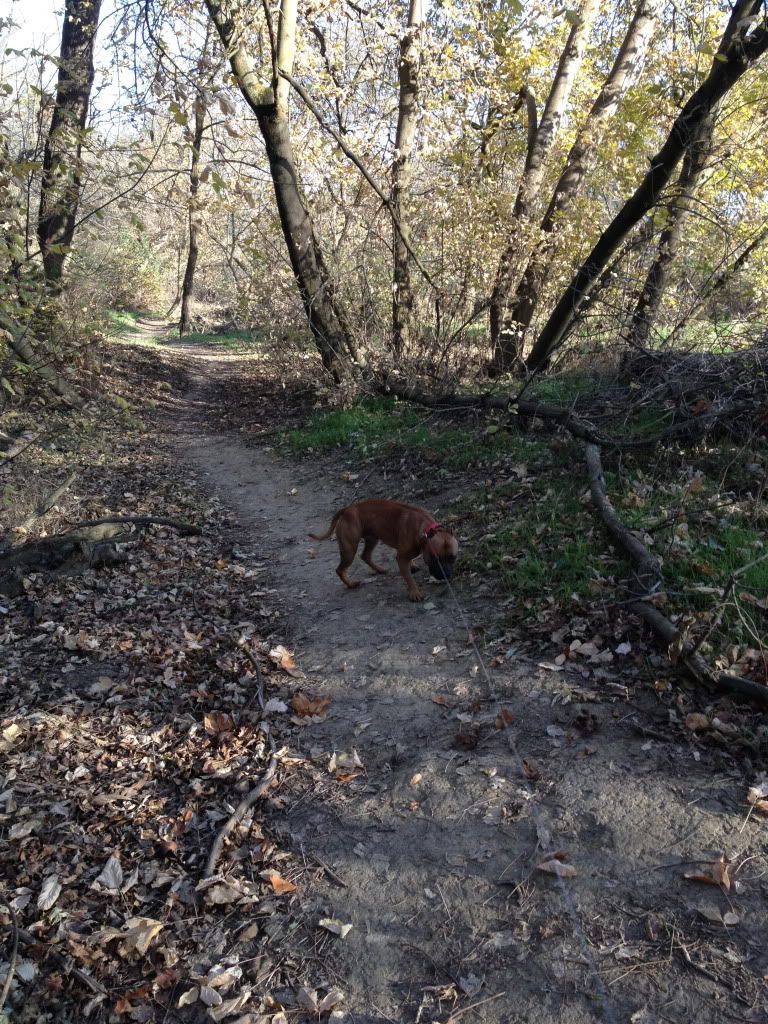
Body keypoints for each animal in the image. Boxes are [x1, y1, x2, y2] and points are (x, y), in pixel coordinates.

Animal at [309, 497, 460, 598]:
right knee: (340, 569)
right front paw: (414, 592)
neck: (426, 529)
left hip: (372, 539)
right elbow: (408, 577)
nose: (445, 575)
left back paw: (379, 569)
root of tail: (347, 509)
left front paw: (412, 565)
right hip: (349, 550)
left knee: (365, 555)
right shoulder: (401, 558)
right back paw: (351, 584)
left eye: (453, 558)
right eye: (434, 558)